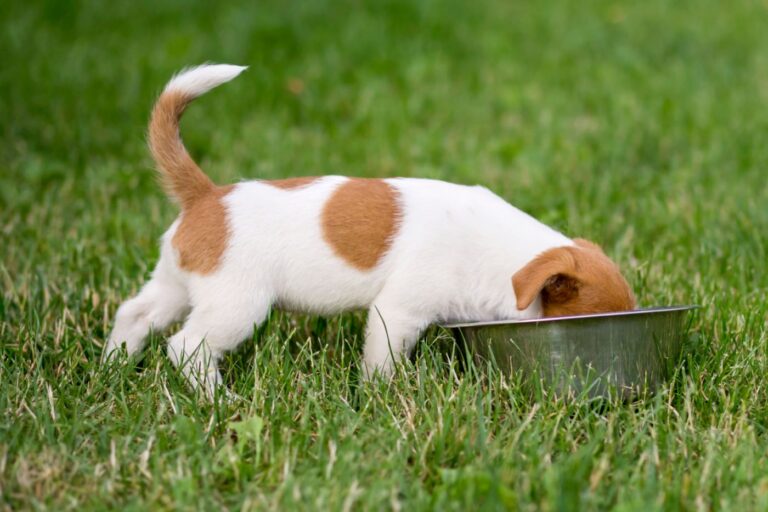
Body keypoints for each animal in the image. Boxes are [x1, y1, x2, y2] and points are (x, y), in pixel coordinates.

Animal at [102, 65, 636, 396]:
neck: (505, 258)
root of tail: (207, 195)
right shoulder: (397, 314)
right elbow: (384, 362)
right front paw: (387, 397)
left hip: (176, 285)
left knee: (135, 314)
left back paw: (113, 366)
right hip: (237, 304)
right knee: (186, 347)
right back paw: (218, 400)